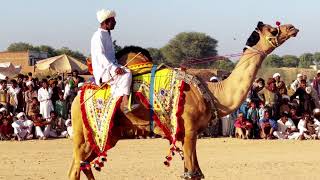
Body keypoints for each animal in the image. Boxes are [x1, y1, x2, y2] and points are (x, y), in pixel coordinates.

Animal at [69, 21, 298, 179]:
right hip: (86, 133)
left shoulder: (190, 133)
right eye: (273, 30)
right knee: (75, 168)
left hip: (109, 134)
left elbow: (196, 172)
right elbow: (191, 173)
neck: (213, 92)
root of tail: (77, 97)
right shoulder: (188, 131)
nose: (292, 27)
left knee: (83, 166)